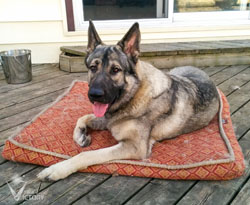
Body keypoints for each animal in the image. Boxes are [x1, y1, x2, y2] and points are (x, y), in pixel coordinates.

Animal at [37, 21, 219, 181]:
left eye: (115, 70)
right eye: (93, 68)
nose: (94, 95)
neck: (134, 94)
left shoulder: (134, 146)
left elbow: (88, 154)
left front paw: (59, 168)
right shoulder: (106, 120)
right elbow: (83, 117)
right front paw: (81, 135)